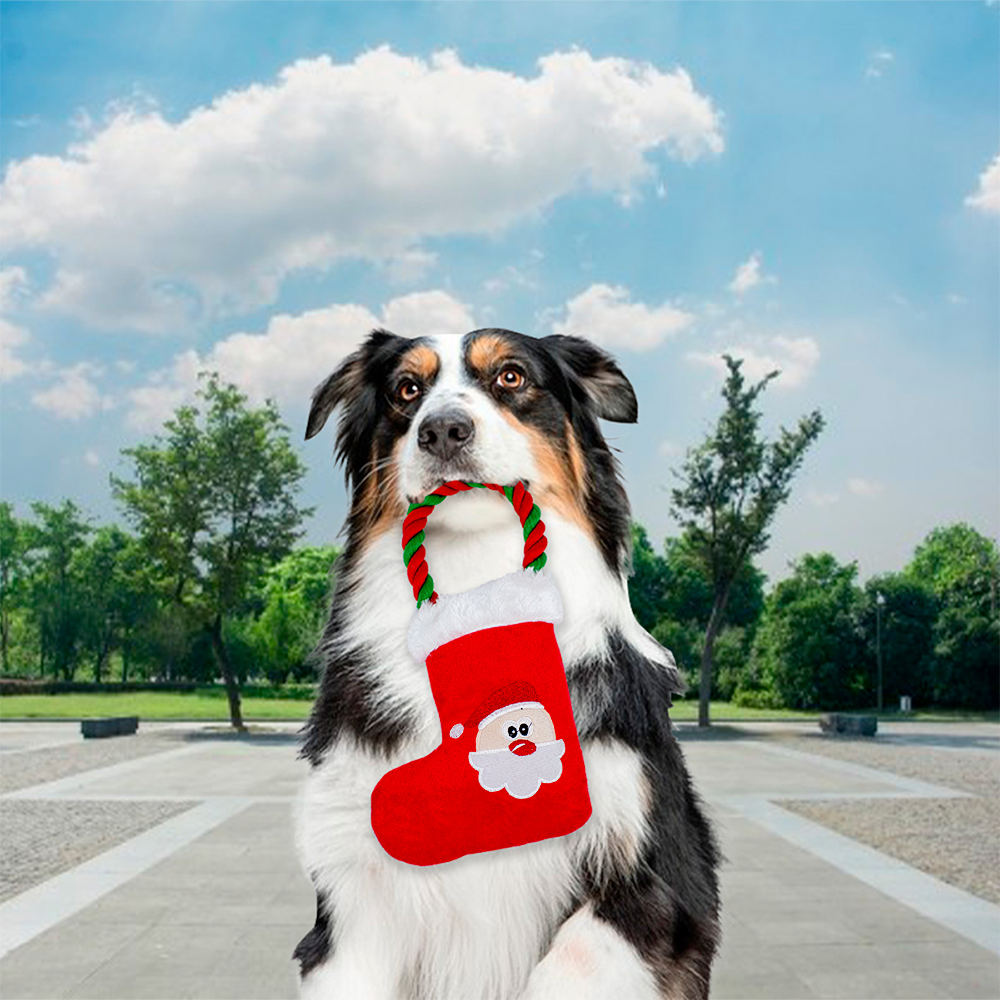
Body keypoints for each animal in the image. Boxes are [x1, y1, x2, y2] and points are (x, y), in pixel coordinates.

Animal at [290, 330, 720, 1000]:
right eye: (406, 390)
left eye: (512, 377)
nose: (443, 429)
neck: (477, 582)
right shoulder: (352, 903)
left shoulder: (657, 885)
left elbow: (567, 964)